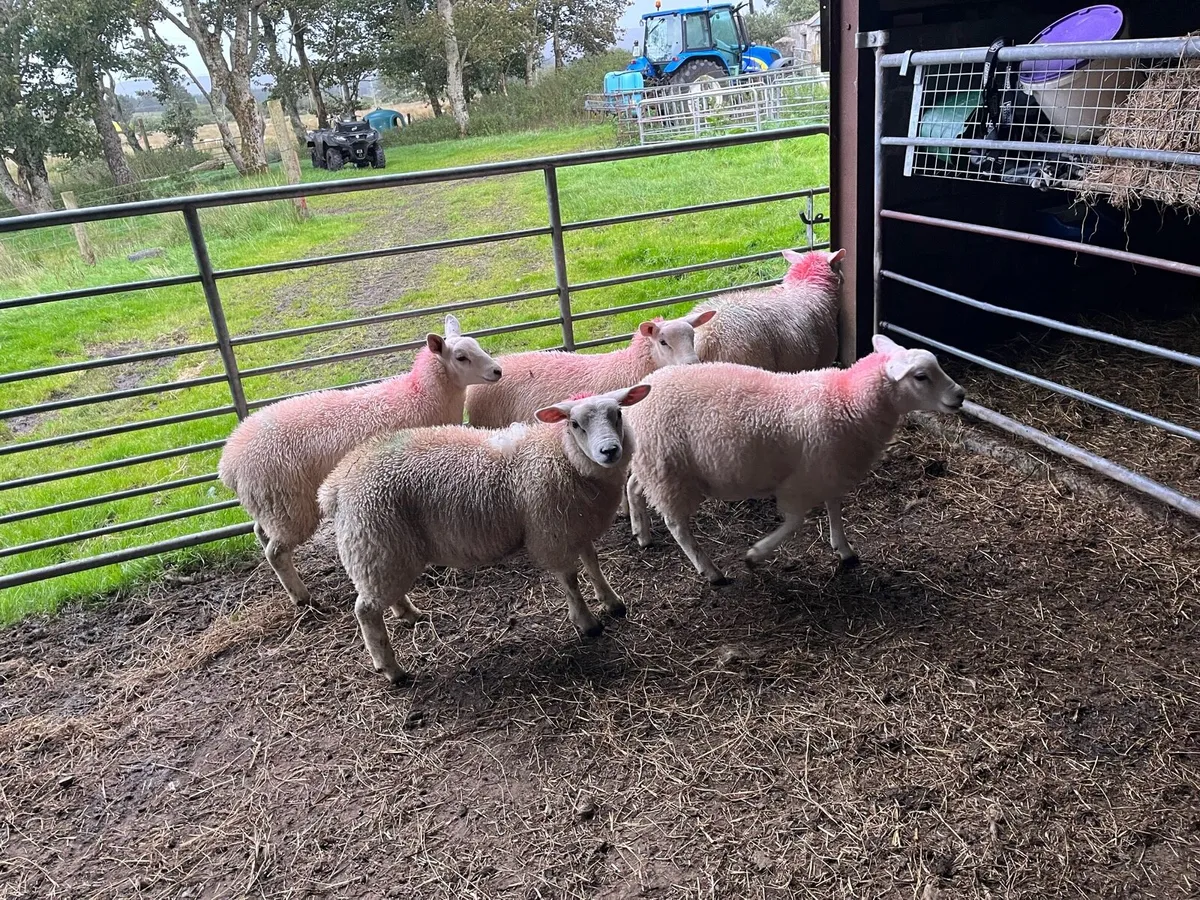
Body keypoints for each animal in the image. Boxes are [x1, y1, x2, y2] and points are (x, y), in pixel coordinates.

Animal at [218, 315, 502, 606]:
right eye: (461, 357)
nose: (497, 371)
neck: (419, 395)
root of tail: (229, 461)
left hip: (269, 506)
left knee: (261, 533)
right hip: (289, 506)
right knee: (276, 552)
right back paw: (302, 597)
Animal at [317, 385, 651, 685]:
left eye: (618, 414)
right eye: (574, 424)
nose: (609, 451)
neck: (561, 455)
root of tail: (336, 484)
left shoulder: (577, 525)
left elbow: (593, 563)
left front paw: (612, 602)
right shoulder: (552, 532)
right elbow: (570, 580)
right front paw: (587, 623)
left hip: (384, 550)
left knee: (384, 594)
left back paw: (408, 613)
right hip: (373, 541)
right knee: (366, 611)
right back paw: (392, 670)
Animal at [625, 335, 965, 584]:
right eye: (921, 377)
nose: (960, 395)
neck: (847, 400)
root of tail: (636, 404)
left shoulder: (829, 468)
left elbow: (834, 507)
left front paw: (844, 549)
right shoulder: (801, 481)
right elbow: (795, 521)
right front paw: (755, 554)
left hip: (653, 465)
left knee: (633, 487)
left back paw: (641, 533)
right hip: (670, 473)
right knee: (676, 524)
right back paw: (710, 571)